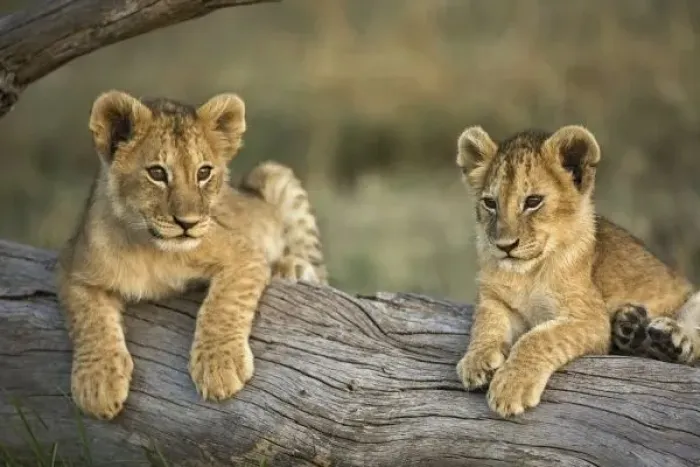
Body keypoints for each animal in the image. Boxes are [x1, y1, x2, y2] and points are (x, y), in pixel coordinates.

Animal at [56, 90, 327, 420]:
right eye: (157, 173)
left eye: (204, 172)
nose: (189, 223)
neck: (148, 248)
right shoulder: (72, 268)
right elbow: (89, 321)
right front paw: (97, 385)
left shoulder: (244, 253)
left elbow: (223, 305)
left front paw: (220, 367)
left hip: (273, 174)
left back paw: (292, 269)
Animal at [454, 124, 700, 417]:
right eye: (490, 203)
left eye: (533, 201)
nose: (505, 246)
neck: (526, 274)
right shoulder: (493, 298)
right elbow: (484, 322)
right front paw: (476, 361)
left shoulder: (590, 319)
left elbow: (538, 338)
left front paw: (510, 387)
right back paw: (631, 328)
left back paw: (669, 338)